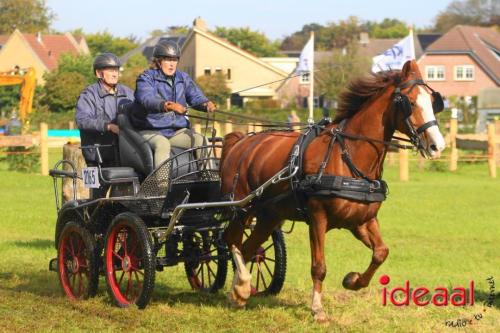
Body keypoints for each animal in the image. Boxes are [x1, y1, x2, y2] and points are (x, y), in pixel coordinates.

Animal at [220, 61, 446, 320]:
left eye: (433, 101)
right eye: (410, 102)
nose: (438, 146)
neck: (348, 156)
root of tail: (239, 142)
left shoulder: (362, 220)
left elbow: (381, 252)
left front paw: (352, 280)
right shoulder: (318, 217)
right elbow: (319, 267)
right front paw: (317, 309)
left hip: (269, 215)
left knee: (248, 248)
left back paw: (240, 293)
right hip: (241, 208)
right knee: (231, 241)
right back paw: (241, 286)